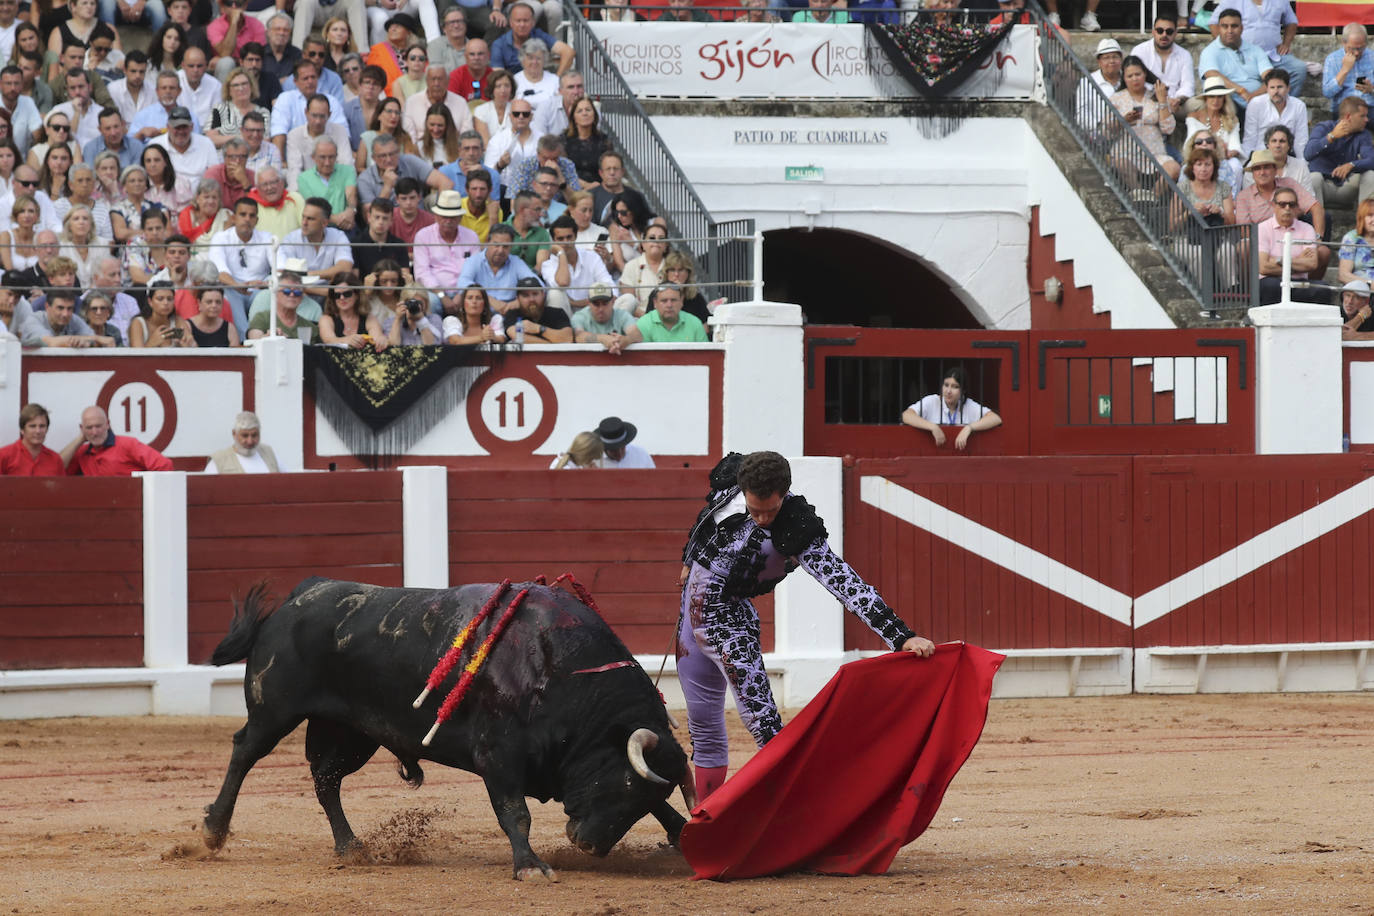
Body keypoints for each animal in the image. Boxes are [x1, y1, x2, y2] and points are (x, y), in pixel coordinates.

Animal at [200, 579, 697, 878]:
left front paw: (679, 833)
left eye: (640, 796)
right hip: (274, 712)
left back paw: (351, 846)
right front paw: (529, 865)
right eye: (625, 783)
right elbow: (515, 812)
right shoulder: (498, 755)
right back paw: (214, 830)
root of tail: (301, 594)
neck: (562, 672)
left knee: (326, 780)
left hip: (352, 732)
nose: (589, 845)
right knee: (244, 752)